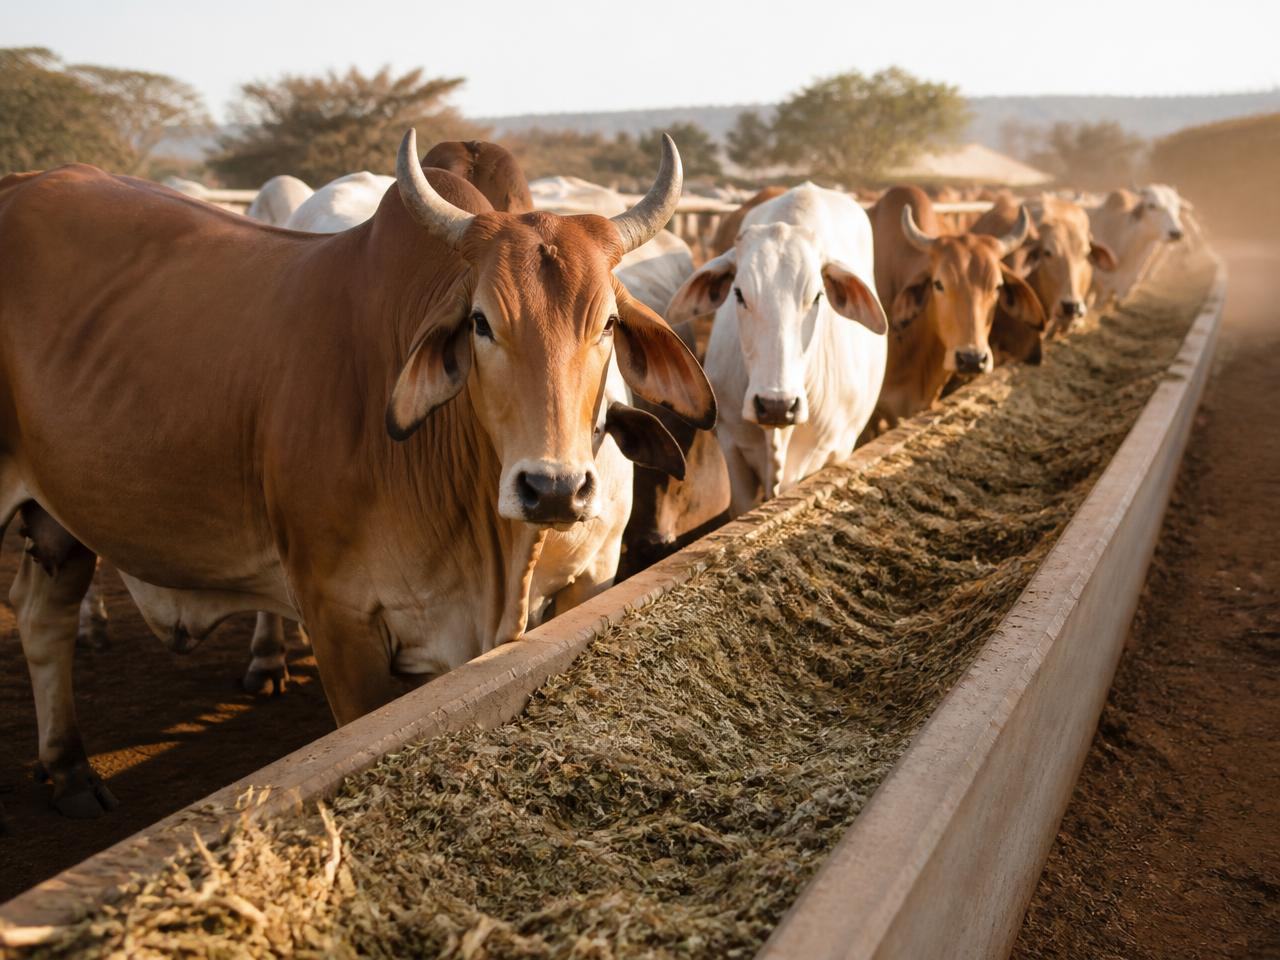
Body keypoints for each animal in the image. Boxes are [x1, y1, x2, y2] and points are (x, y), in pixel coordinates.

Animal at [0, 129, 713, 818]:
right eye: (481, 322)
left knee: (41, 617)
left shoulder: (580, 583)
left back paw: (70, 773)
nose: (553, 488)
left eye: (609, 323)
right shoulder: (338, 618)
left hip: (61, 518)